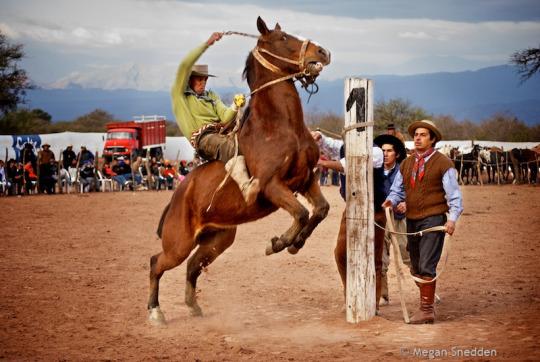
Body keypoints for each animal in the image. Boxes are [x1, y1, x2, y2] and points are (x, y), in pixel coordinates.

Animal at [150, 17, 332, 324]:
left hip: (218, 239)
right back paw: (155, 311)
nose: (322, 52)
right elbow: (301, 212)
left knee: (192, 266)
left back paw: (193, 306)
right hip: (179, 243)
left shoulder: (307, 180)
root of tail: (178, 196)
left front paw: (295, 243)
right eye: (283, 38)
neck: (279, 128)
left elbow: (320, 210)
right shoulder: (273, 187)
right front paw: (279, 242)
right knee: (157, 263)